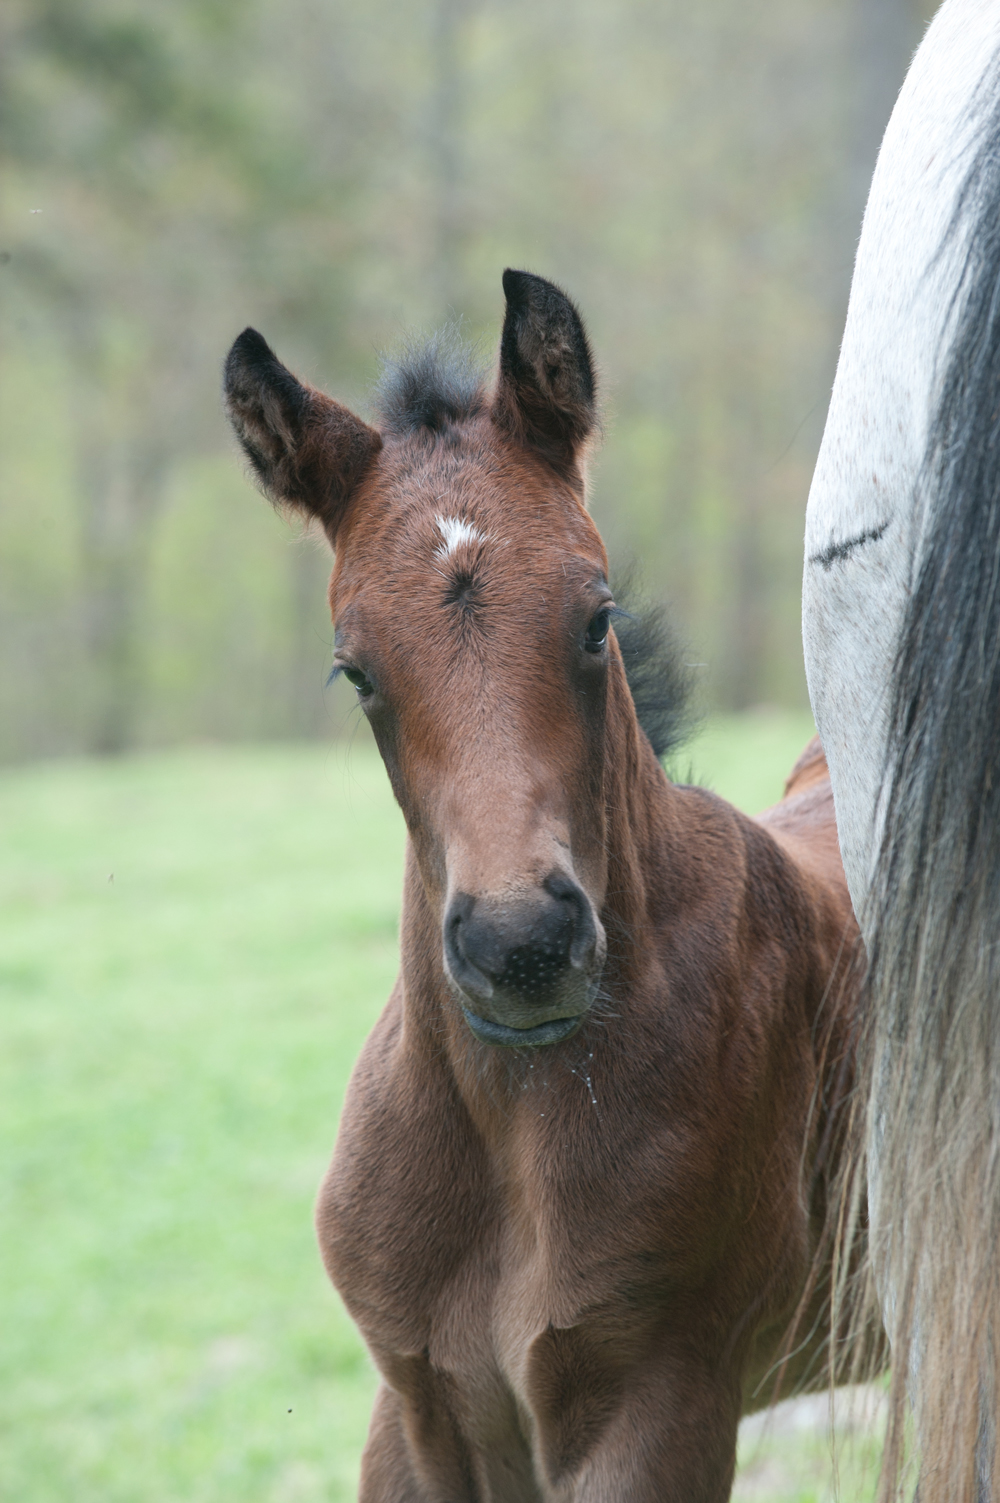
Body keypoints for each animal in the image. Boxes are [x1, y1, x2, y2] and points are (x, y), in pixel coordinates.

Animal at [224, 273, 860, 1503]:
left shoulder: (658, 1398)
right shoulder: (420, 1401)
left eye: (597, 617)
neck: (508, 1132)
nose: (520, 947)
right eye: (354, 671)